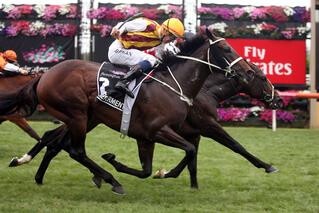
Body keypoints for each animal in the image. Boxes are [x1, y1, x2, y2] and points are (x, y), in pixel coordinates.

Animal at [0, 30, 258, 195]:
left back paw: (39, 173)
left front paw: (125, 164)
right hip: (77, 114)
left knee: (56, 142)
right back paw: (110, 180)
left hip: (85, 117)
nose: (248, 71)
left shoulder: (145, 137)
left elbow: (147, 170)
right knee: (75, 150)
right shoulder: (157, 130)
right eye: (225, 48)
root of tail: (45, 75)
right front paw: (162, 173)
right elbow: (190, 150)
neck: (174, 86)